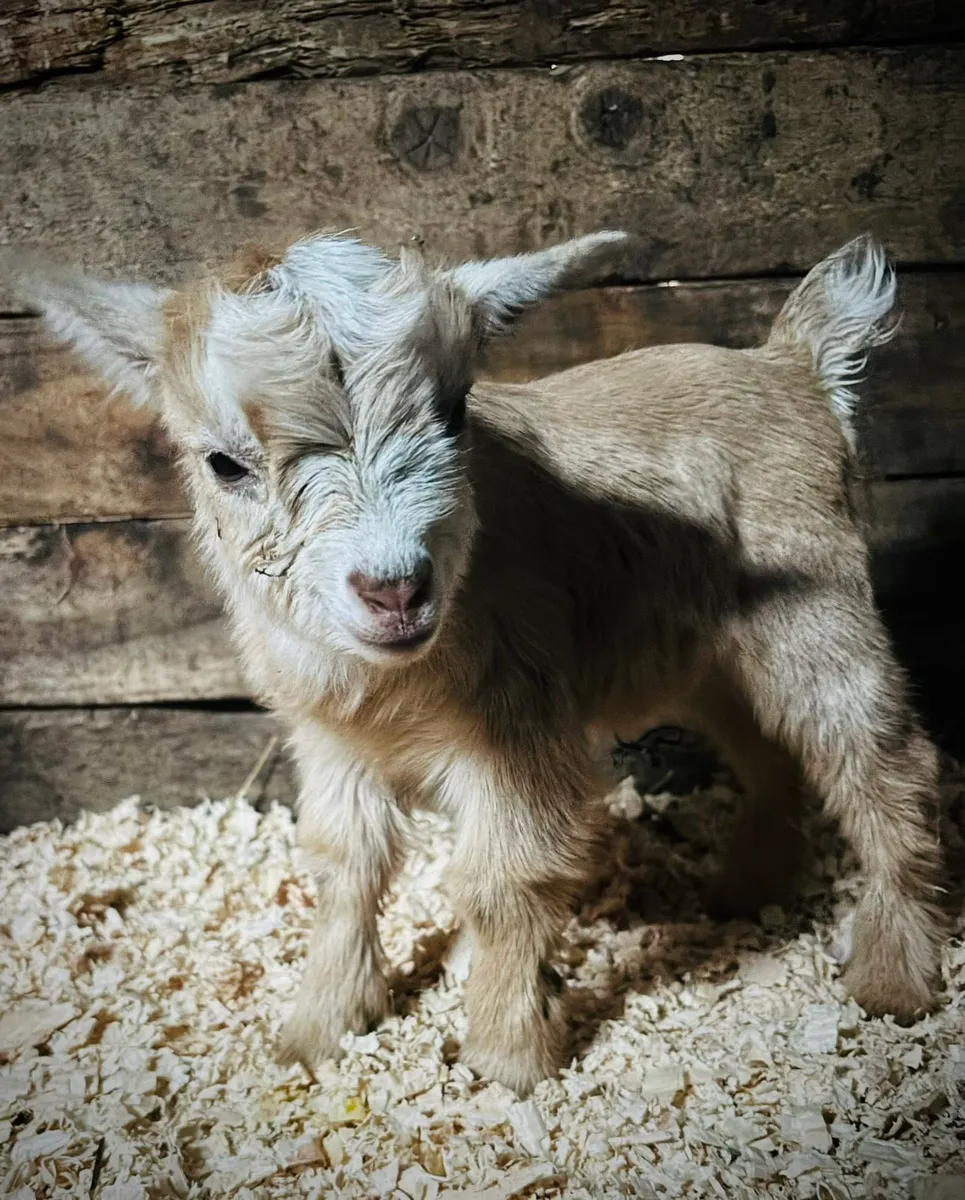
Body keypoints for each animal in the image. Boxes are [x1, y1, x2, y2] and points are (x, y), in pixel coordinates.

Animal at [3, 231, 948, 1095]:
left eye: (454, 412)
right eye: (225, 462)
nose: (394, 589)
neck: (393, 682)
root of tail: (790, 364)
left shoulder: (518, 728)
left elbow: (503, 880)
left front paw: (504, 1053)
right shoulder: (332, 742)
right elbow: (344, 868)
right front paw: (320, 1027)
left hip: (817, 611)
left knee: (881, 759)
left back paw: (894, 976)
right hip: (713, 654)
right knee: (771, 752)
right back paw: (748, 891)